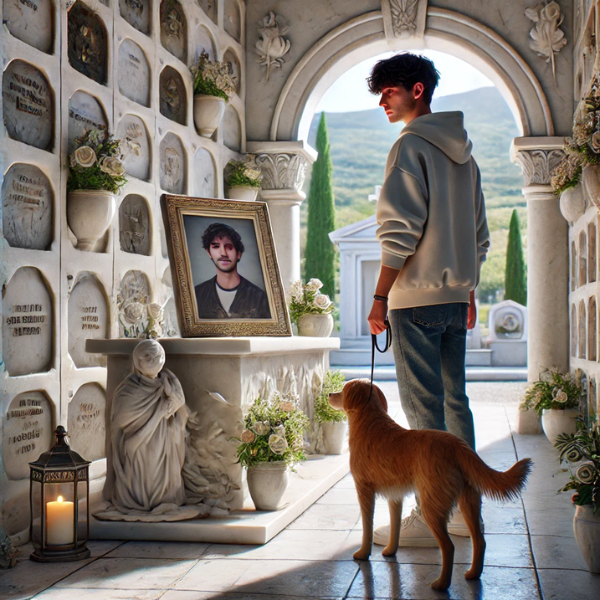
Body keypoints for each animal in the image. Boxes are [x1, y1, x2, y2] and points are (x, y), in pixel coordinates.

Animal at [330, 380, 532, 592]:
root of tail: (457, 445)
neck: (370, 422)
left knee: (449, 547)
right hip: (468, 502)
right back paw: (473, 574)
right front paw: (391, 550)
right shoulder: (395, 495)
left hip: (432, 505)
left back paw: (442, 583)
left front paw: (363, 553)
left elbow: (367, 526)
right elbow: (395, 527)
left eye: (342, 391)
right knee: (479, 540)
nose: (328, 394)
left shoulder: (364, 489)